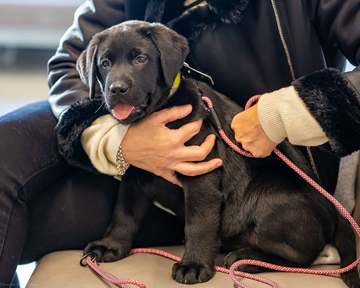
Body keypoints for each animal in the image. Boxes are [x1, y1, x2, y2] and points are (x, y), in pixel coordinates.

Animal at [76, 20, 360, 286]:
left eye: (140, 58)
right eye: (104, 63)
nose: (117, 88)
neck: (158, 113)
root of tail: (336, 216)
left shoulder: (201, 177)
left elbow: (198, 224)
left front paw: (193, 265)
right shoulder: (135, 174)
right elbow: (123, 214)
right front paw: (110, 245)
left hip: (272, 198)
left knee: (304, 257)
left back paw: (246, 259)